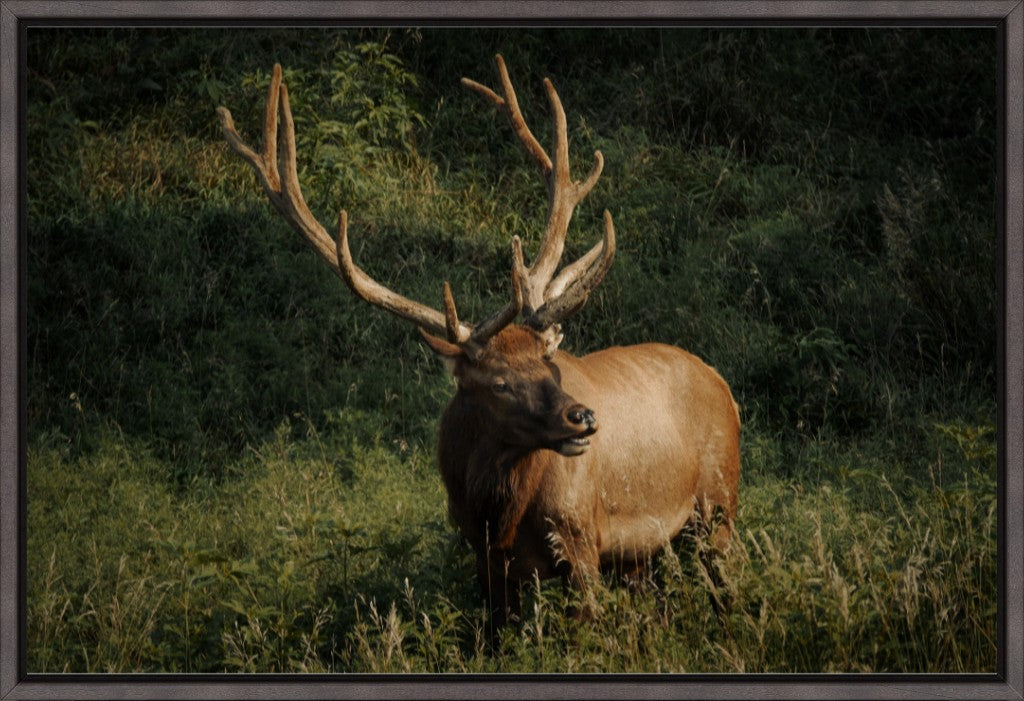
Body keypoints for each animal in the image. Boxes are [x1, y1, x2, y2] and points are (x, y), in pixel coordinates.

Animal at [218, 57, 737, 630]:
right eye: (498, 383)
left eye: (551, 367)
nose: (583, 417)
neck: (499, 514)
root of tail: (723, 383)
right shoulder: (483, 559)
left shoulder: (580, 539)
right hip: (643, 552)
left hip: (719, 503)